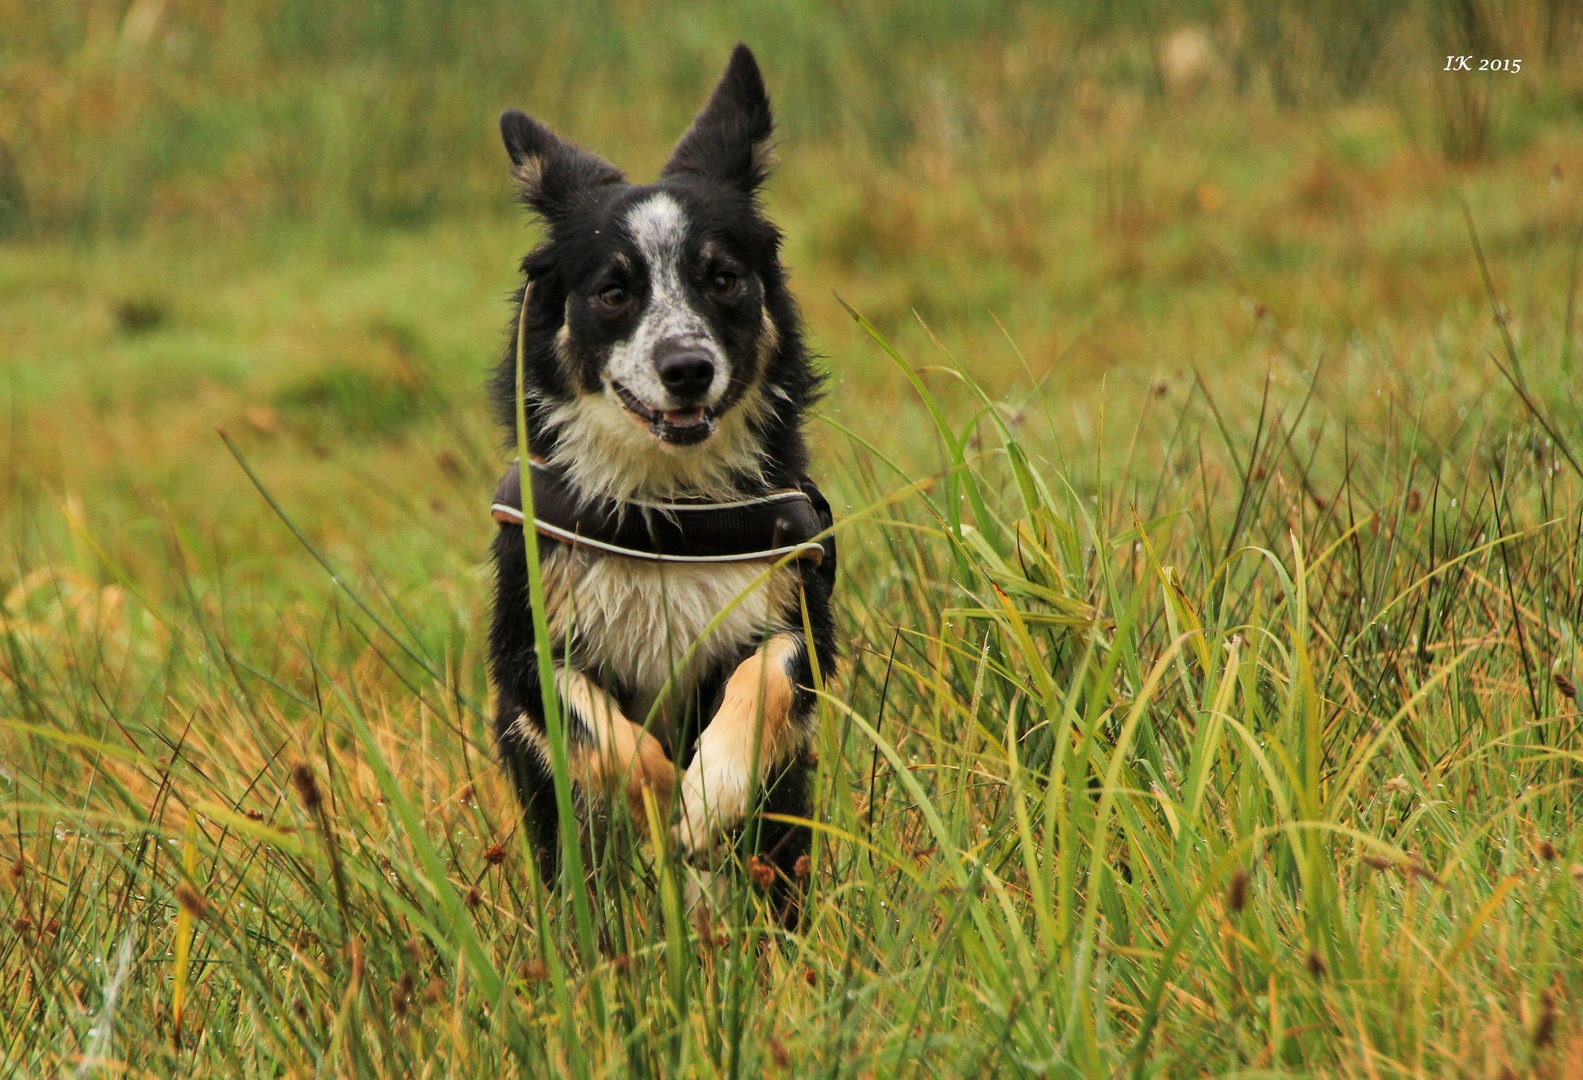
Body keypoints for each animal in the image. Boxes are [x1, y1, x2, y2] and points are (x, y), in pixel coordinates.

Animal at [484, 44, 835, 899]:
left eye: (722, 278)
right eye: (613, 291)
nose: (686, 368)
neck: (669, 513)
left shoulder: (798, 605)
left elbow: (767, 677)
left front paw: (708, 794)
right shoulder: (526, 652)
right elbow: (605, 740)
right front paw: (659, 801)